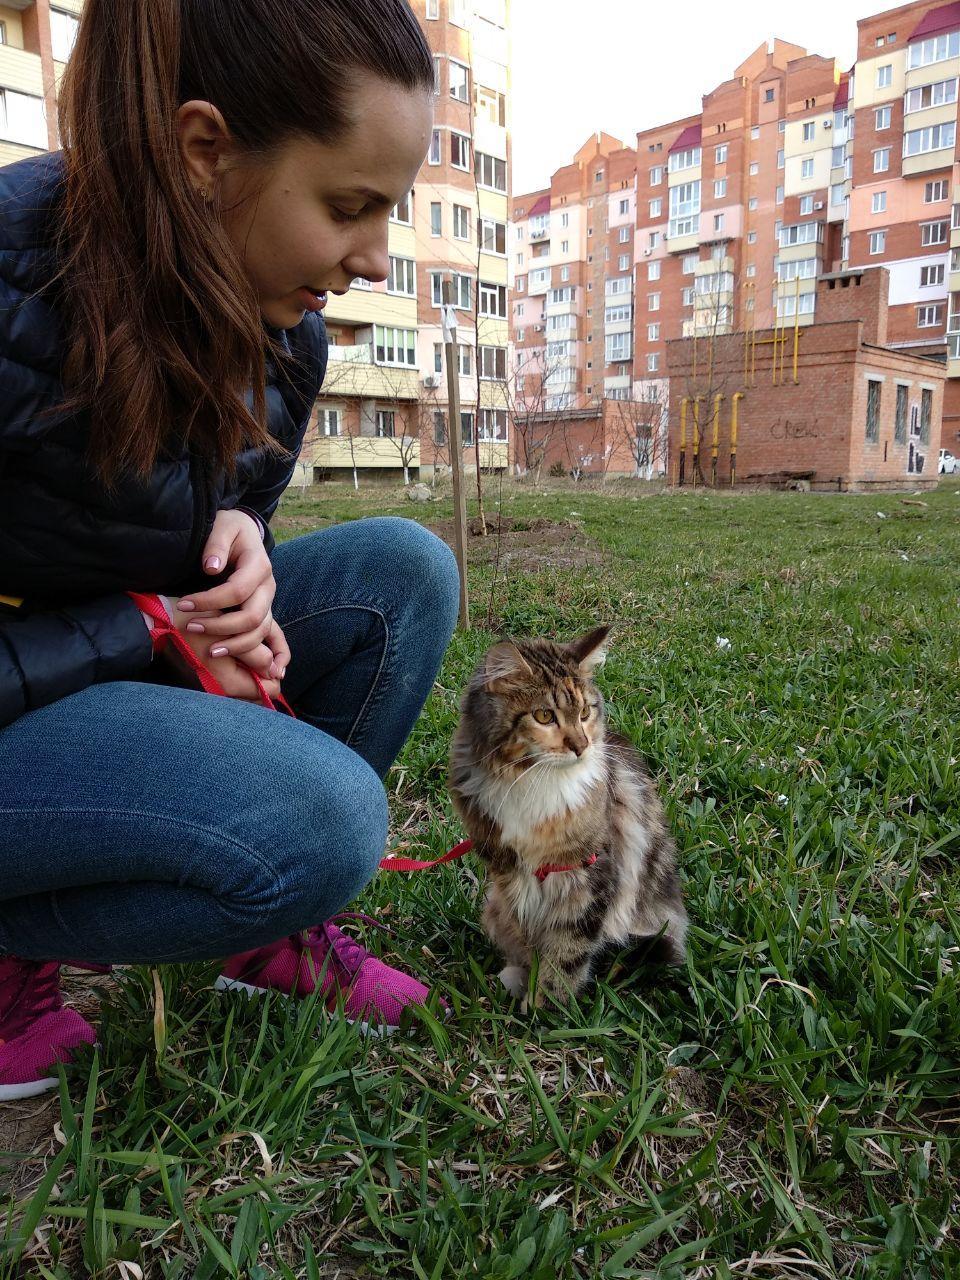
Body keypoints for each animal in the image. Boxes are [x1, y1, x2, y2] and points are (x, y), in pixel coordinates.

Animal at [448, 624, 686, 1003]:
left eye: (585, 713)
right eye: (544, 716)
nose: (581, 746)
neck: (531, 780)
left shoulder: (589, 870)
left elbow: (567, 952)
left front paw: (544, 1004)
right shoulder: (509, 871)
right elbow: (529, 935)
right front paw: (528, 982)